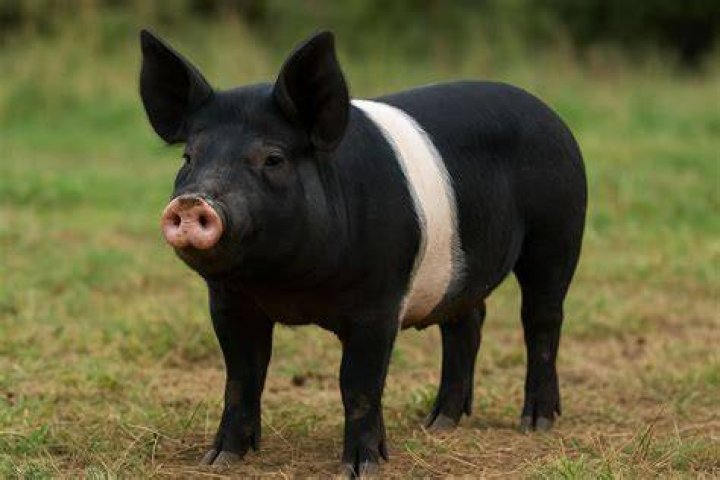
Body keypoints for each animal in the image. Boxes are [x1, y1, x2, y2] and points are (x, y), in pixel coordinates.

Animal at [140, 29, 587, 476]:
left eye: (273, 158)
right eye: (189, 157)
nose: (193, 202)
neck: (289, 286)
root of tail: (550, 114)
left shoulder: (380, 300)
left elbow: (358, 384)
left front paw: (361, 468)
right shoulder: (229, 303)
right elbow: (241, 377)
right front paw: (219, 459)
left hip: (559, 228)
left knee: (542, 319)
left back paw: (535, 422)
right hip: (463, 270)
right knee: (467, 321)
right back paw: (438, 423)